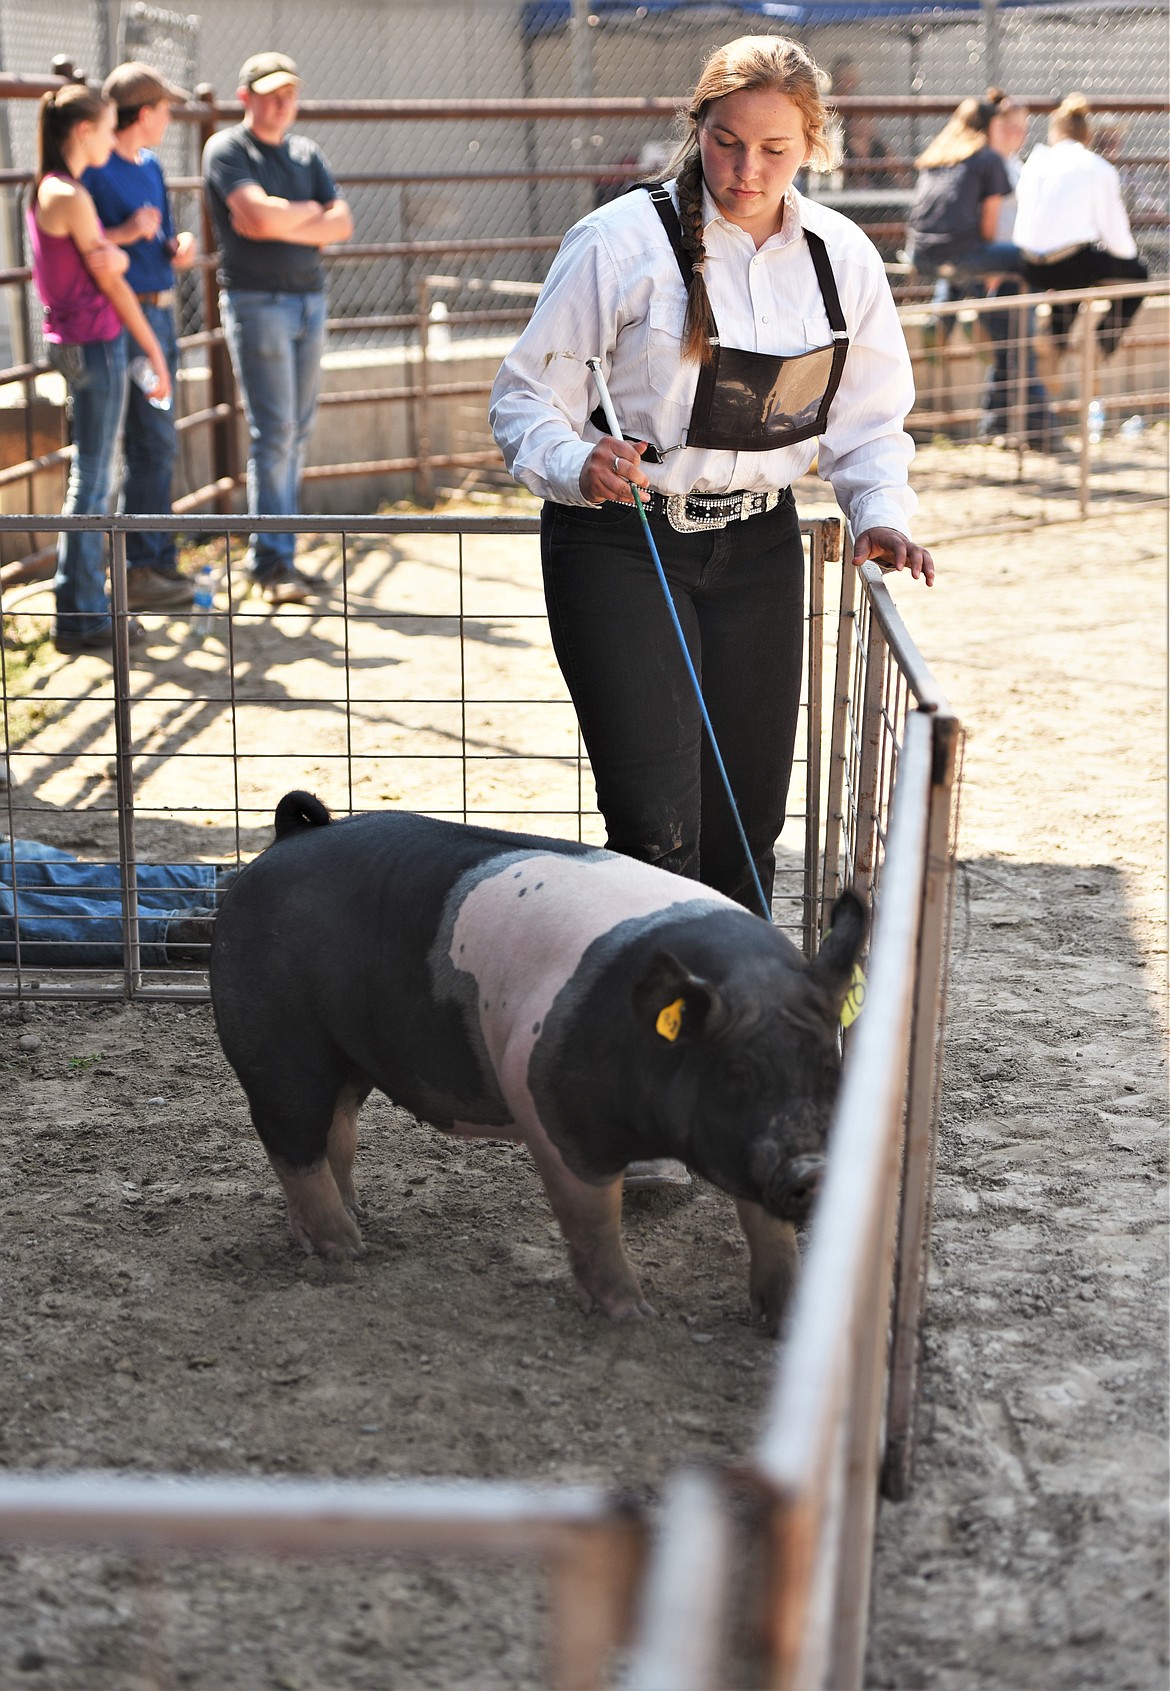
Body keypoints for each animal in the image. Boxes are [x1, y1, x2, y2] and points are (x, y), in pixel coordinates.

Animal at [210, 791, 862, 1332]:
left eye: (830, 1069)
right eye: (735, 1077)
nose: (815, 1169)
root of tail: (284, 842)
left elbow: (768, 1226)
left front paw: (786, 1318)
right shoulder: (548, 1099)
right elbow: (593, 1220)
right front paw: (635, 1315)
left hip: (348, 1056)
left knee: (337, 1129)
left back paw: (356, 1217)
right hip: (274, 1039)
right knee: (291, 1140)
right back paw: (347, 1250)